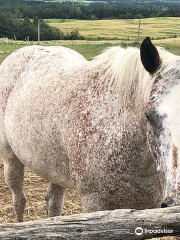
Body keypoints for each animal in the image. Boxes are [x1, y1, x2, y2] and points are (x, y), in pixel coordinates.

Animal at [0, 36, 179, 222]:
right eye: (148, 116)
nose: (175, 202)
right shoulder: (94, 204)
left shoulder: (152, 206)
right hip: (11, 159)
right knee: (19, 201)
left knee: (53, 204)